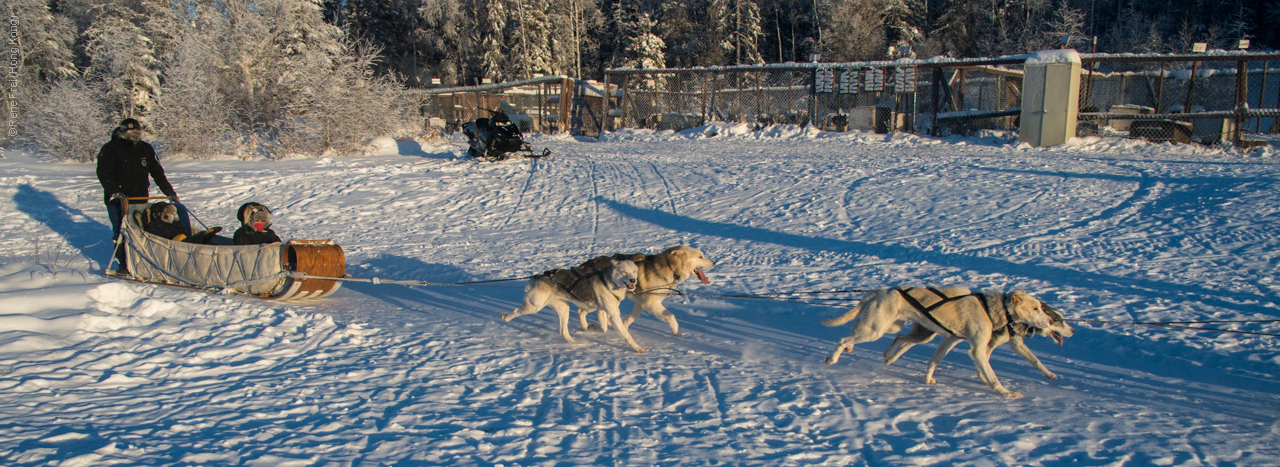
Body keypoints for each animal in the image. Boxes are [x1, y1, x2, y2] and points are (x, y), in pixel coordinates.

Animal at [494, 255, 645, 350]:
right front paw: (637, 347)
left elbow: (604, 326)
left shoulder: (603, 309)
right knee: (516, 311)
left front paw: (591, 328)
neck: (608, 281)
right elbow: (625, 334)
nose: (633, 280)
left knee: (563, 331)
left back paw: (574, 342)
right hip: (534, 306)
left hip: (563, 309)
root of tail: (538, 277)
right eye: (624, 272)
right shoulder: (612, 314)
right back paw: (506, 317)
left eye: (634, 271)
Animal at [576, 244, 716, 335]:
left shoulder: (641, 303)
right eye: (700, 256)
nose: (714, 262)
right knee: (581, 311)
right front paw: (677, 334)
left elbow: (630, 319)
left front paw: (623, 328)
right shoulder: (651, 303)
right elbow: (671, 317)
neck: (669, 267)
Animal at [829, 284, 1059, 396]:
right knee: (843, 338)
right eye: (1035, 308)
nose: (1050, 320)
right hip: (875, 330)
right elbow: (992, 376)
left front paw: (927, 379)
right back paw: (834, 357)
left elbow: (934, 361)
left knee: (891, 336)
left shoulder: (950, 340)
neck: (990, 308)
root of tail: (881, 291)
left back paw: (882, 355)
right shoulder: (977, 350)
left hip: (897, 329)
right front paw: (1005, 392)